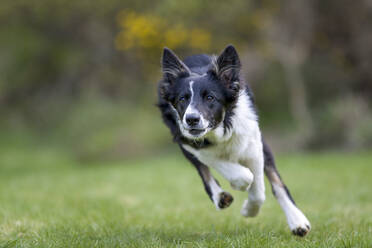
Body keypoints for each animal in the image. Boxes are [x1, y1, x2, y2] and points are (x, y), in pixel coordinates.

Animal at [157, 45, 310, 236]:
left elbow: (259, 190)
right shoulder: (187, 140)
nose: (191, 119)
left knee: (277, 183)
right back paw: (219, 196)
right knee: (204, 171)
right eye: (182, 99)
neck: (221, 127)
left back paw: (297, 221)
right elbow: (238, 172)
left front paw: (249, 211)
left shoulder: (254, 144)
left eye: (210, 97)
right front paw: (238, 184)